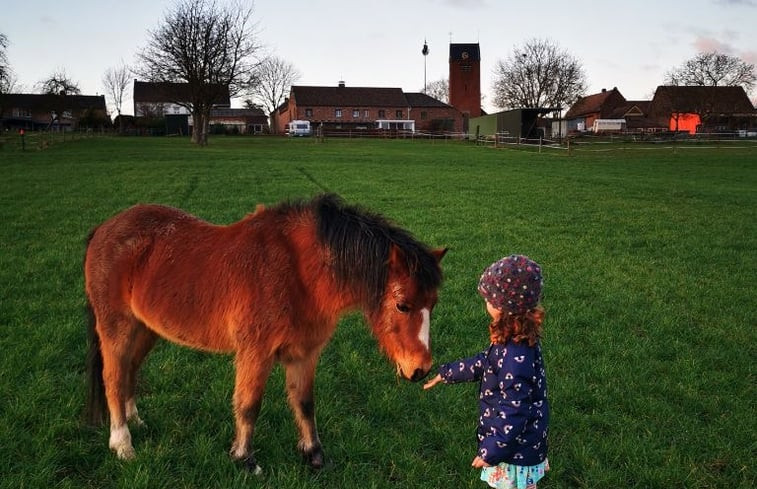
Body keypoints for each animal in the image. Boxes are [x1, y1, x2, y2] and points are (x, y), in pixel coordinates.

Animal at [85, 193, 446, 472]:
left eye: (433, 303)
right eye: (402, 305)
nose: (420, 369)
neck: (298, 272)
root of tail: (104, 228)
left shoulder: (304, 354)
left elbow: (304, 403)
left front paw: (314, 455)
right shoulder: (255, 353)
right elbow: (249, 405)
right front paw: (244, 459)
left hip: (146, 329)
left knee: (130, 370)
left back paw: (134, 420)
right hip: (117, 328)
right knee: (113, 378)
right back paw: (122, 443)